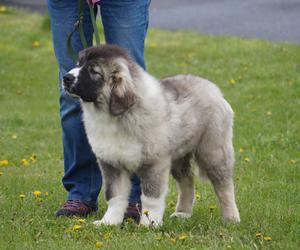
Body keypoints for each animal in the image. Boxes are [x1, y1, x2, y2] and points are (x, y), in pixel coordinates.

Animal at [63, 44, 241, 227]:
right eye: (78, 64)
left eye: (93, 71)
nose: (66, 77)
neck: (116, 116)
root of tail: (214, 89)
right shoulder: (111, 163)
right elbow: (114, 195)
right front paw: (109, 221)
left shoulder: (154, 163)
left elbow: (151, 197)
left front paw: (149, 224)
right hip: (178, 156)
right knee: (187, 181)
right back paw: (183, 213)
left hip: (213, 151)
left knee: (224, 186)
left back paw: (231, 218)